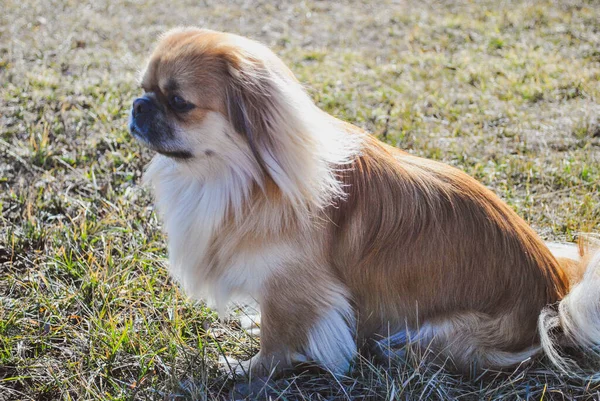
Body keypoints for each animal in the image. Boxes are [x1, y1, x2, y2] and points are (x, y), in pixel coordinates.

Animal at [131, 27, 600, 376]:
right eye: (143, 88)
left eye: (180, 102)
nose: (138, 105)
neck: (240, 180)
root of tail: (558, 293)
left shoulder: (292, 288)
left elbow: (277, 339)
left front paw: (246, 369)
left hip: (442, 332)